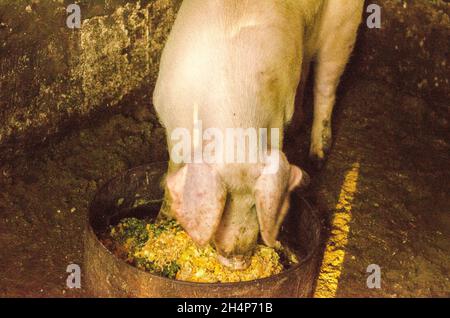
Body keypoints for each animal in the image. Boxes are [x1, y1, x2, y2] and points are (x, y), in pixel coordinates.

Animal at [153, 0, 364, 270]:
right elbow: (172, 170)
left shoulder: (277, 121)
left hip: (343, 24)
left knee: (326, 86)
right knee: (306, 69)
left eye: (256, 203)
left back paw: (317, 157)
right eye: (224, 204)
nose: (238, 259)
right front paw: (161, 221)